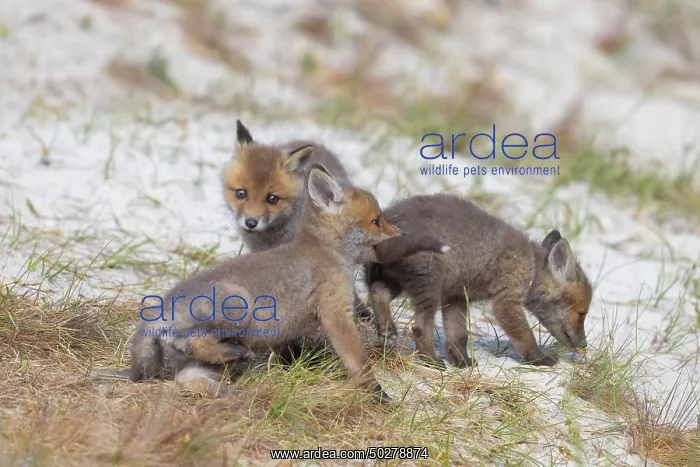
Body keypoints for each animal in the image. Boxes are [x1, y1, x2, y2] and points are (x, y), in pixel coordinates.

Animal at [89, 165, 449, 402]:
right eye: (376, 221)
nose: (401, 233)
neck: (328, 253)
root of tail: (159, 310)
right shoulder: (336, 314)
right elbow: (359, 362)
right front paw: (376, 392)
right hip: (238, 307)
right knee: (192, 341)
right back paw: (233, 355)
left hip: (203, 364)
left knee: (189, 380)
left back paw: (233, 392)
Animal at [366, 193, 593, 368]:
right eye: (582, 314)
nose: (583, 345)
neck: (532, 266)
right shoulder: (506, 300)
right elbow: (525, 335)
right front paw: (539, 359)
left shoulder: (456, 297)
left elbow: (458, 335)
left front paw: (462, 362)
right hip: (429, 284)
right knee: (420, 328)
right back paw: (431, 360)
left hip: (391, 280)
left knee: (377, 294)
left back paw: (387, 331)